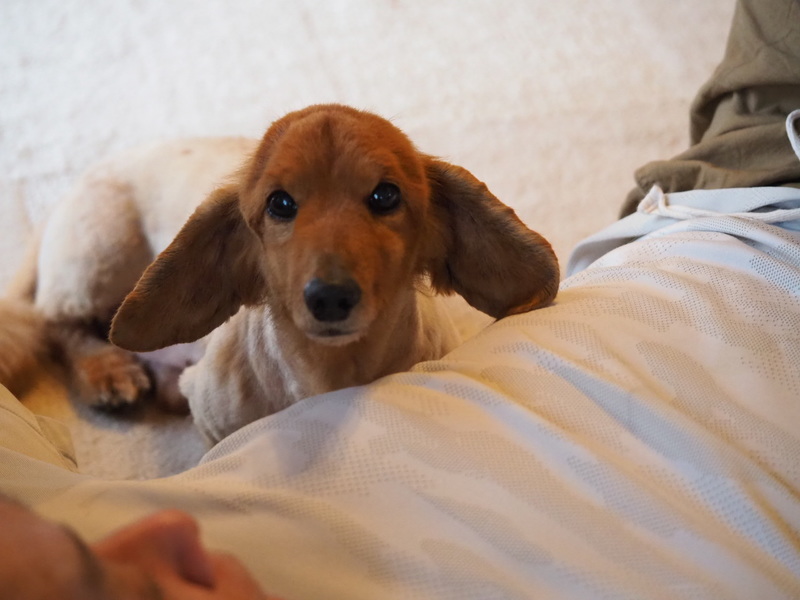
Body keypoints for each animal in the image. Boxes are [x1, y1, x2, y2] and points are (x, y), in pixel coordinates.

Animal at [1, 104, 559, 443]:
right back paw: (106, 370)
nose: (329, 297)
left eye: (386, 195)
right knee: (56, 323)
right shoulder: (213, 419)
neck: (327, 376)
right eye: (280, 204)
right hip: (100, 259)